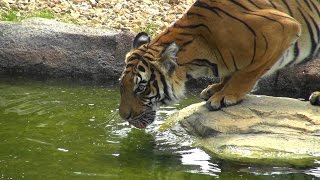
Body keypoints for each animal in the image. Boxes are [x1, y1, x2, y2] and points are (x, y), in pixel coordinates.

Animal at [119, 0, 320, 129]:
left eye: (141, 88)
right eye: (122, 86)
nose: (123, 116)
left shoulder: (282, 27)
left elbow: (247, 72)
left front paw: (225, 96)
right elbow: (233, 72)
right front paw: (216, 88)